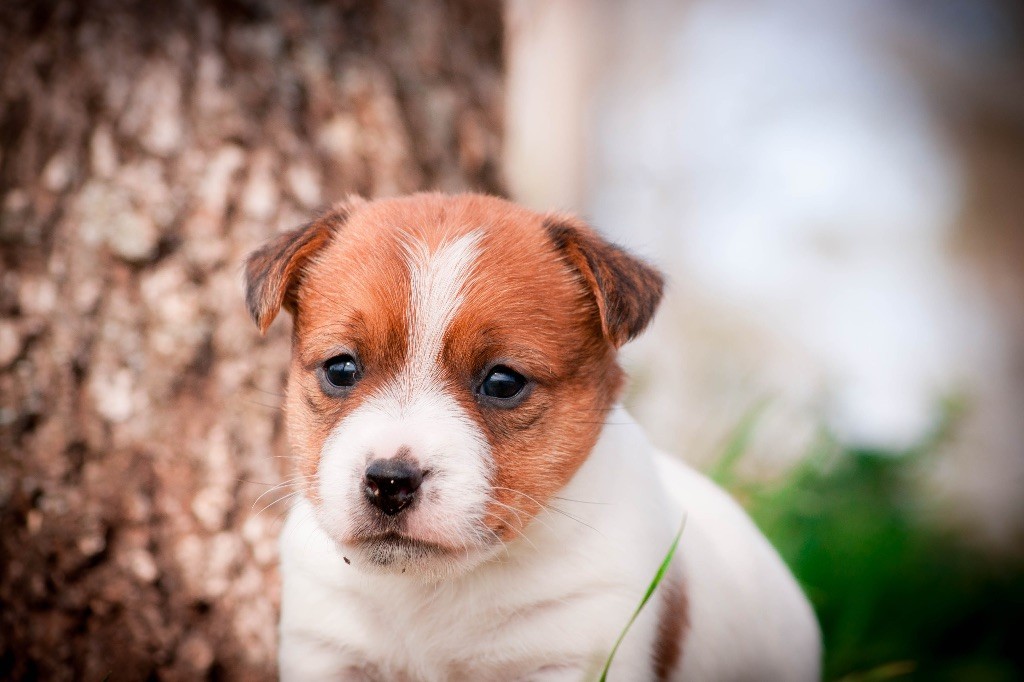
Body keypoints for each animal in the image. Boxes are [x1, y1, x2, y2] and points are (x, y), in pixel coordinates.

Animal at [243, 192, 819, 679]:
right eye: (341, 369)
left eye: (503, 382)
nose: (389, 481)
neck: (433, 591)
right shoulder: (327, 651)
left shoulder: (574, 652)